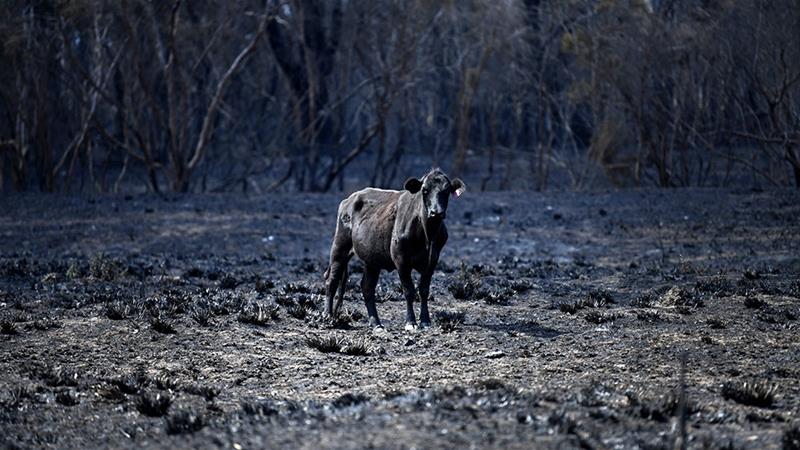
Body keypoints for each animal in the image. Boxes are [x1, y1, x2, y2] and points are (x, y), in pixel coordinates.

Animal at [324, 169, 466, 330]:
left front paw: (425, 320)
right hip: (340, 247)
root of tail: (349, 199)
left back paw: (376, 323)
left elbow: (424, 290)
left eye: (447, 191)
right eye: (424, 190)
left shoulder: (432, 260)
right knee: (331, 280)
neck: (427, 235)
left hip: (371, 259)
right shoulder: (401, 260)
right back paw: (328, 316)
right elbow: (409, 290)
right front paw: (410, 322)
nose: (436, 212)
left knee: (367, 287)